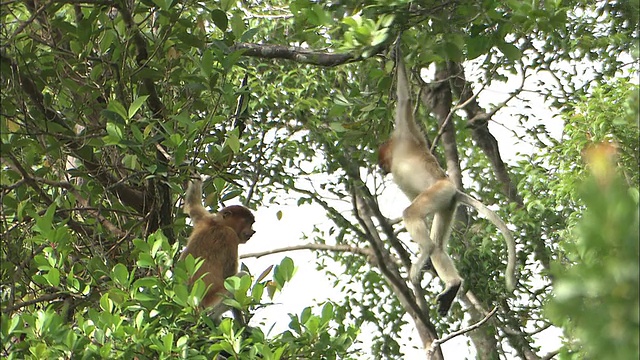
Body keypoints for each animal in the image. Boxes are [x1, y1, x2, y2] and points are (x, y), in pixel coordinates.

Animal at [378, 45, 516, 316]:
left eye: (383, 161)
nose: (382, 169)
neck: (396, 146)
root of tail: (453, 188)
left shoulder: (404, 132)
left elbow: (404, 99)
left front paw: (396, 52)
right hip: (447, 203)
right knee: (440, 246)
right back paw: (452, 285)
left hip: (439, 190)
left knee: (414, 216)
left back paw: (424, 255)